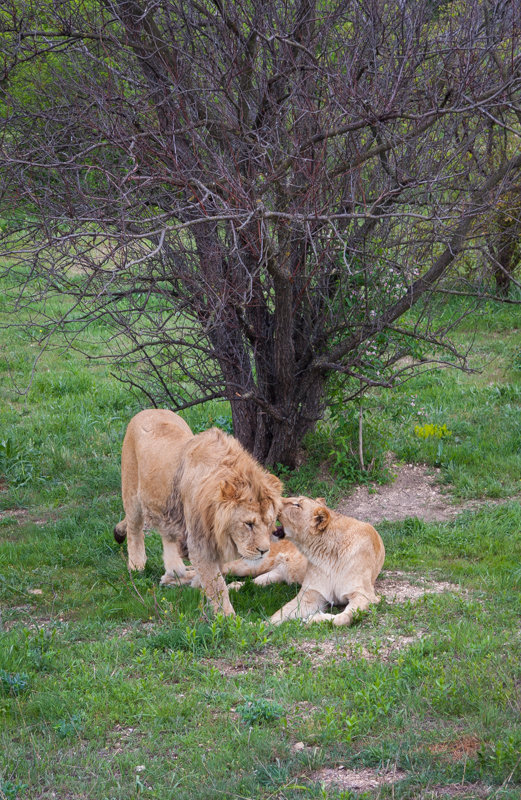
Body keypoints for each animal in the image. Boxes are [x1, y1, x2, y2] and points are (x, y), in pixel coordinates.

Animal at [114, 410, 282, 616]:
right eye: (248, 524)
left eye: (269, 523)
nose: (264, 551)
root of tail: (147, 411)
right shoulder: (200, 543)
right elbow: (217, 584)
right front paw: (228, 618)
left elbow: (216, 576)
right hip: (132, 496)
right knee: (134, 529)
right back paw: (137, 565)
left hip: (168, 509)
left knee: (166, 534)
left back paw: (175, 569)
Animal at [268, 494, 386, 624]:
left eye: (297, 505)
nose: (272, 500)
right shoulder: (312, 593)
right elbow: (280, 613)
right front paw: (261, 625)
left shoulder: (363, 594)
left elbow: (343, 618)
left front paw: (312, 619)